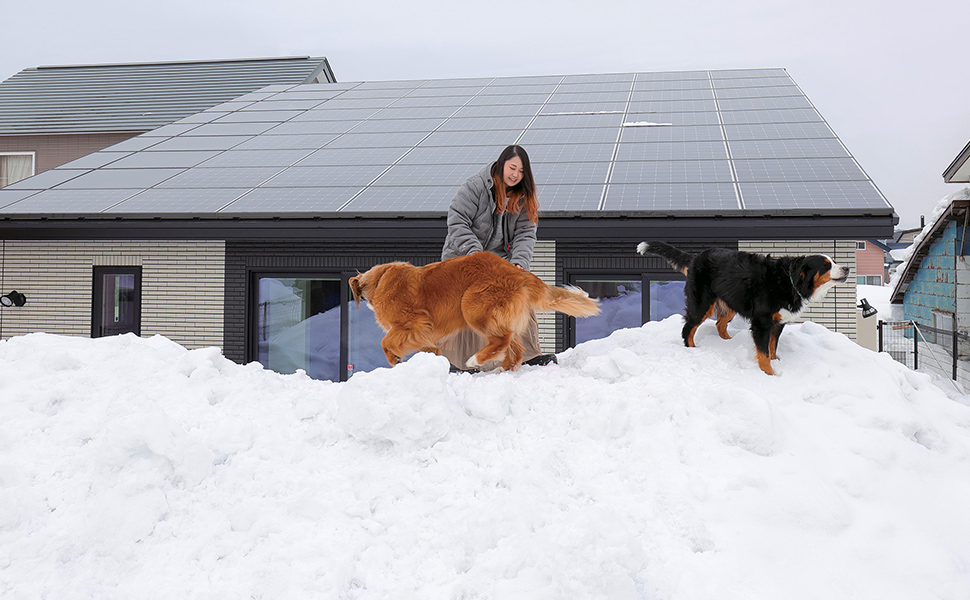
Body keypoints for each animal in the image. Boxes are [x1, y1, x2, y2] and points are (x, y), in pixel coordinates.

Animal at [636, 240, 848, 376]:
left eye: (835, 262)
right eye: (826, 265)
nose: (847, 268)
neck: (789, 281)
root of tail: (697, 257)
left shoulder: (778, 322)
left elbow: (772, 348)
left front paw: (776, 363)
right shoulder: (762, 322)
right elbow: (763, 353)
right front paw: (769, 375)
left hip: (730, 300)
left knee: (720, 324)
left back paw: (727, 343)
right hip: (702, 304)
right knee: (688, 328)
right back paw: (693, 350)